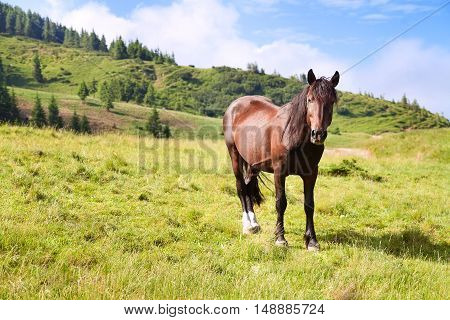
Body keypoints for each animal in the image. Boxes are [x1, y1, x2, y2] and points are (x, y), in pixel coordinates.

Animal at [223, 69, 340, 250]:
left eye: (331, 101)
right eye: (310, 99)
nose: (318, 134)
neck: (292, 136)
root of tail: (235, 105)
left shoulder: (311, 174)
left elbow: (309, 204)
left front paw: (312, 241)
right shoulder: (279, 172)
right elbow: (281, 203)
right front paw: (280, 238)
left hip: (252, 163)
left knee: (248, 186)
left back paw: (254, 224)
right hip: (235, 156)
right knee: (241, 187)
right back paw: (248, 225)